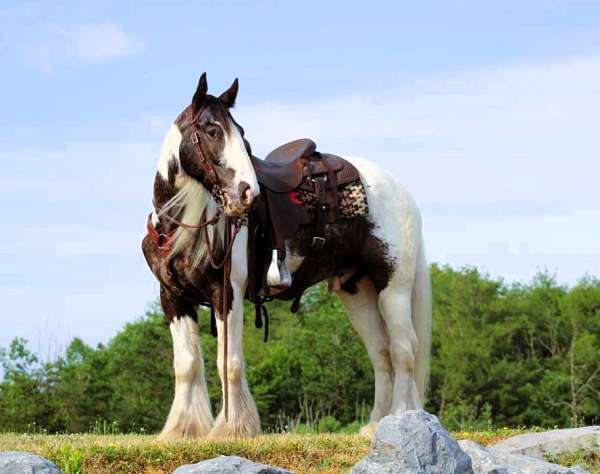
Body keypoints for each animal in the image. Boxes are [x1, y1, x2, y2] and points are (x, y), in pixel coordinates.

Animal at [141, 74, 432, 440]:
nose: (248, 193)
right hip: (358, 291)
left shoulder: (227, 293)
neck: (184, 224)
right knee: (381, 354)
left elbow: (229, 363)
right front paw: (182, 430)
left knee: (403, 348)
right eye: (212, 131)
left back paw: (401, 417)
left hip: (393, 287)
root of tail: (400, 191)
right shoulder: (173, 297)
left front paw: (233, 428)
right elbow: (187, 364)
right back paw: (376, 424)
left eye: (241, 134)